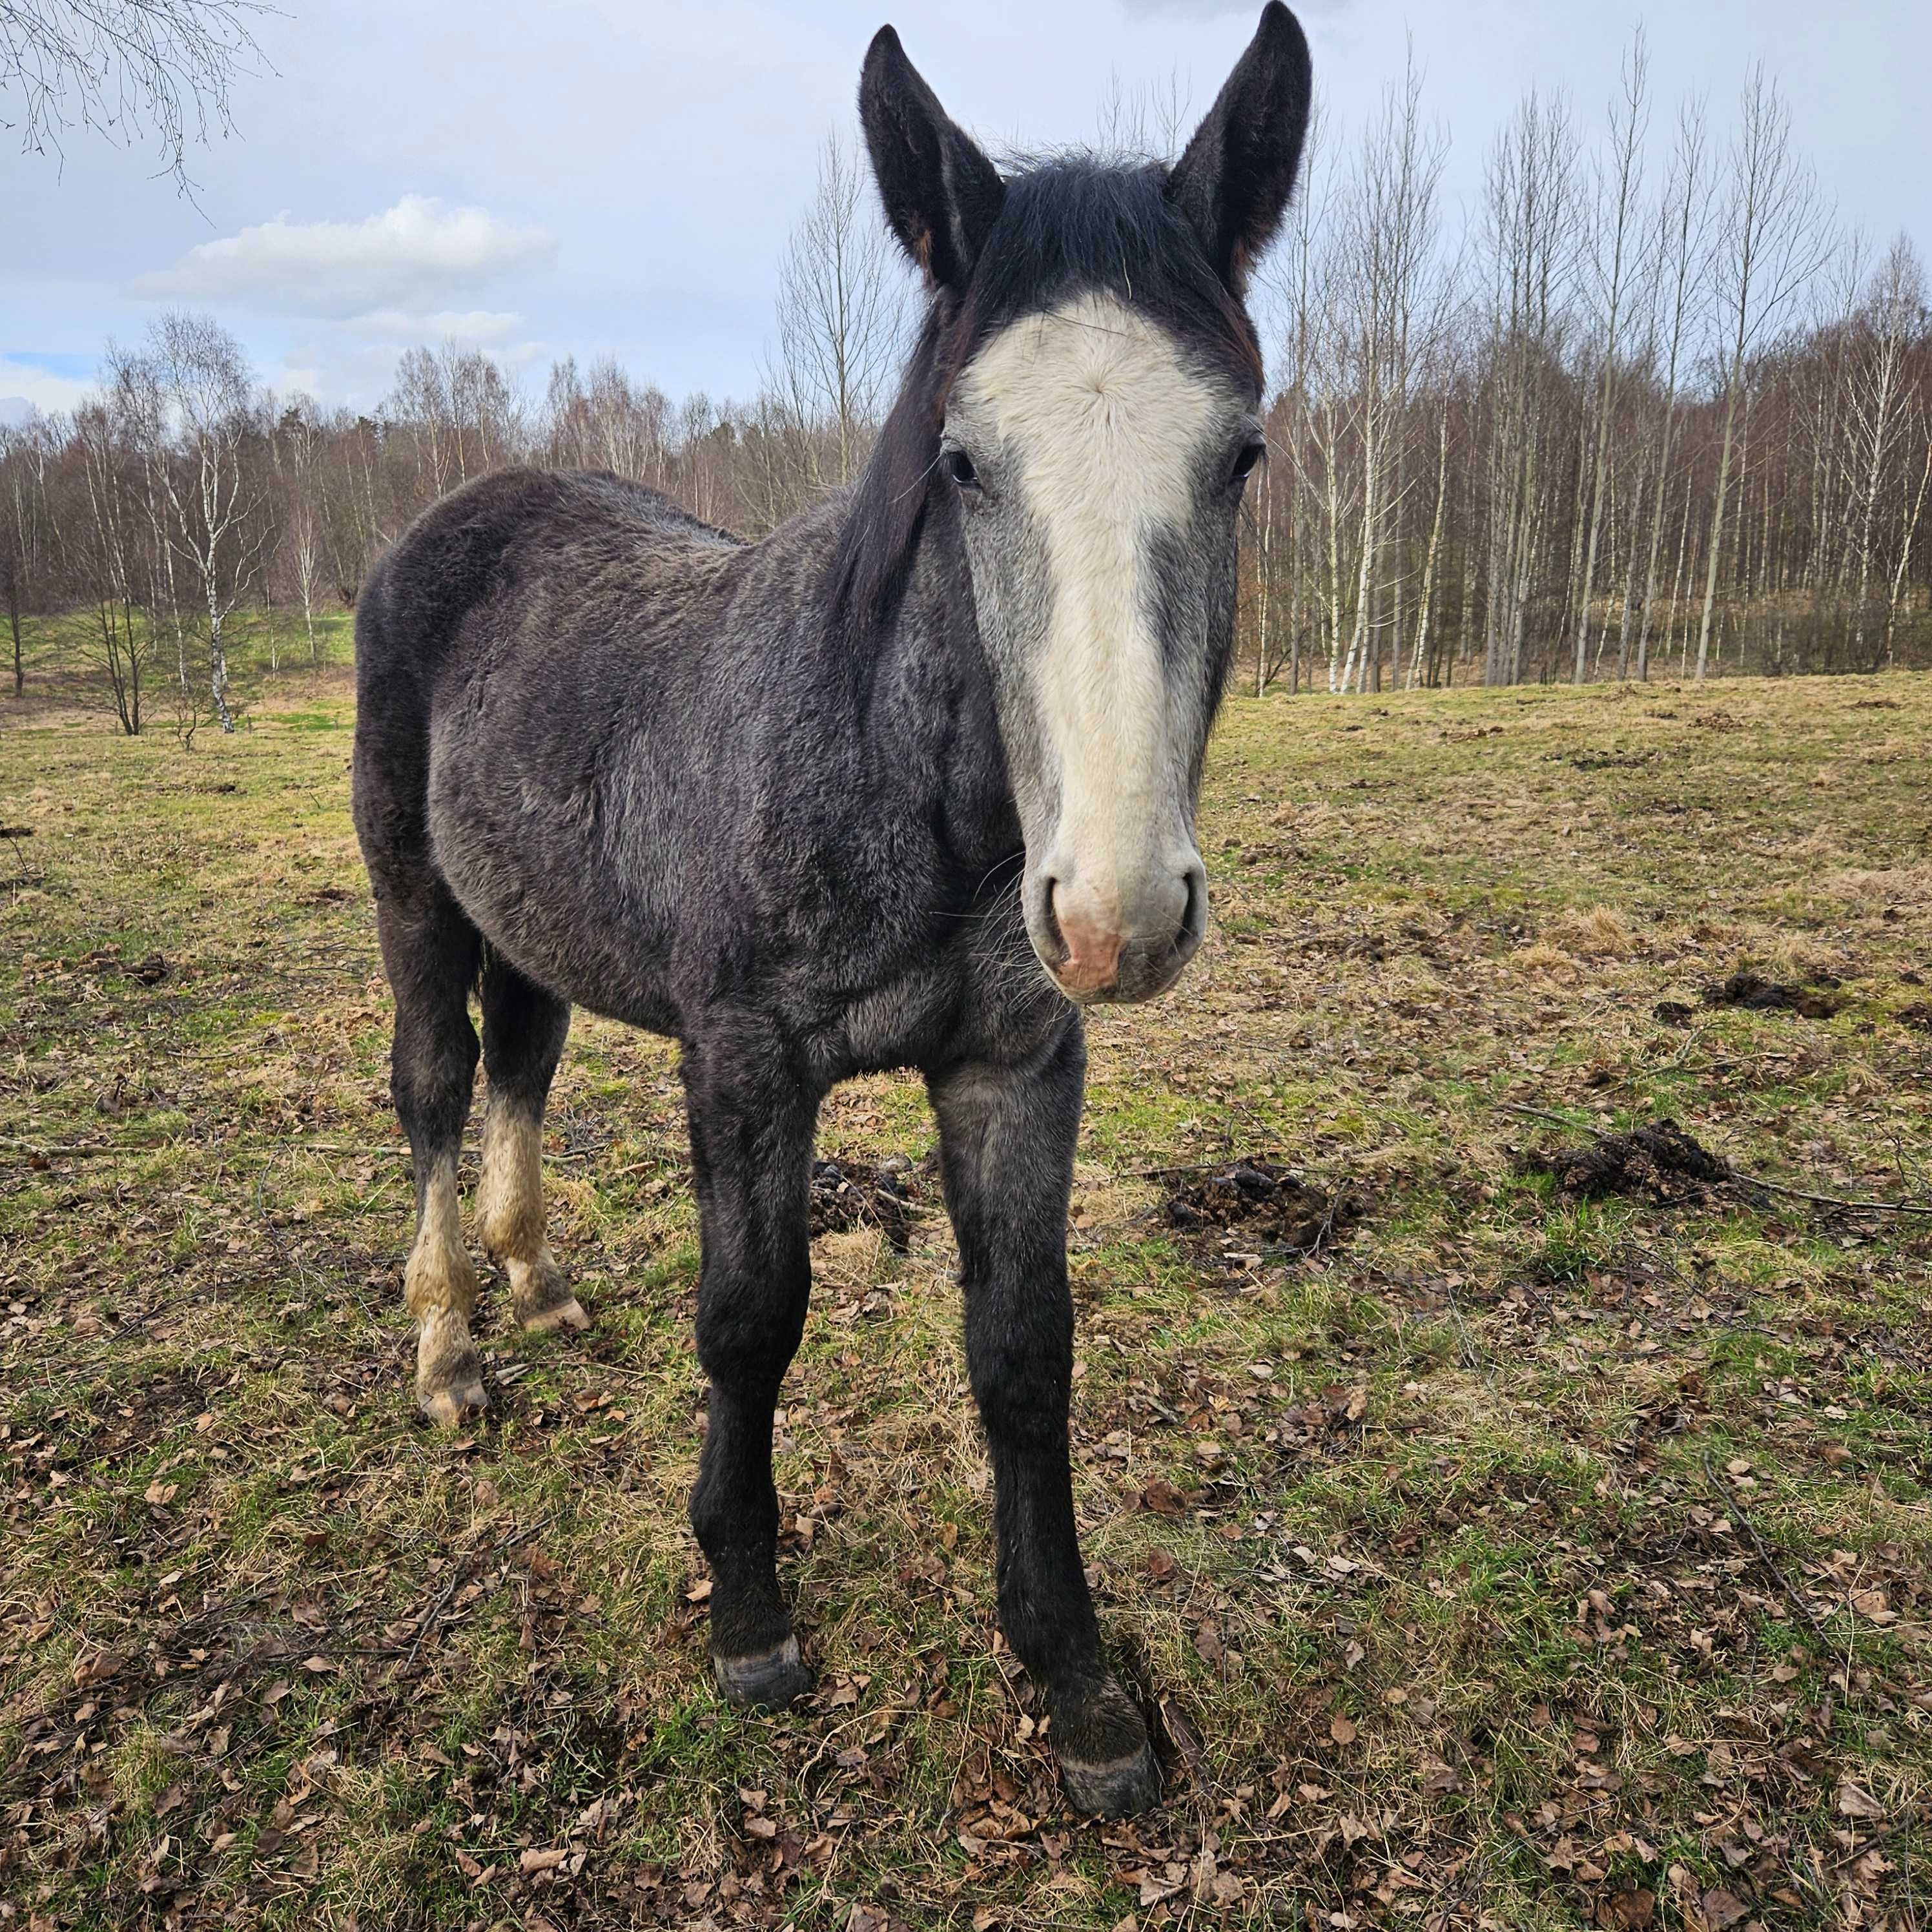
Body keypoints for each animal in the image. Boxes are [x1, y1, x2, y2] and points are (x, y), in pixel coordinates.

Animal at [351, 3, 1313, 1808]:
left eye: (1238, 454)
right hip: (418, 906)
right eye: (963, 460)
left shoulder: (1015, 1069)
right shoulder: (743, 1063)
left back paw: (537, 1282)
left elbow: (1021, 1347)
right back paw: (447, 1354)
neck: (904, 786)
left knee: (519, 1069)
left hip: (535, 932)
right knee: (438, 1090)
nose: (1117, 913)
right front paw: (747, 1607)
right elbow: (751, 1320)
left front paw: (1076, 1678)